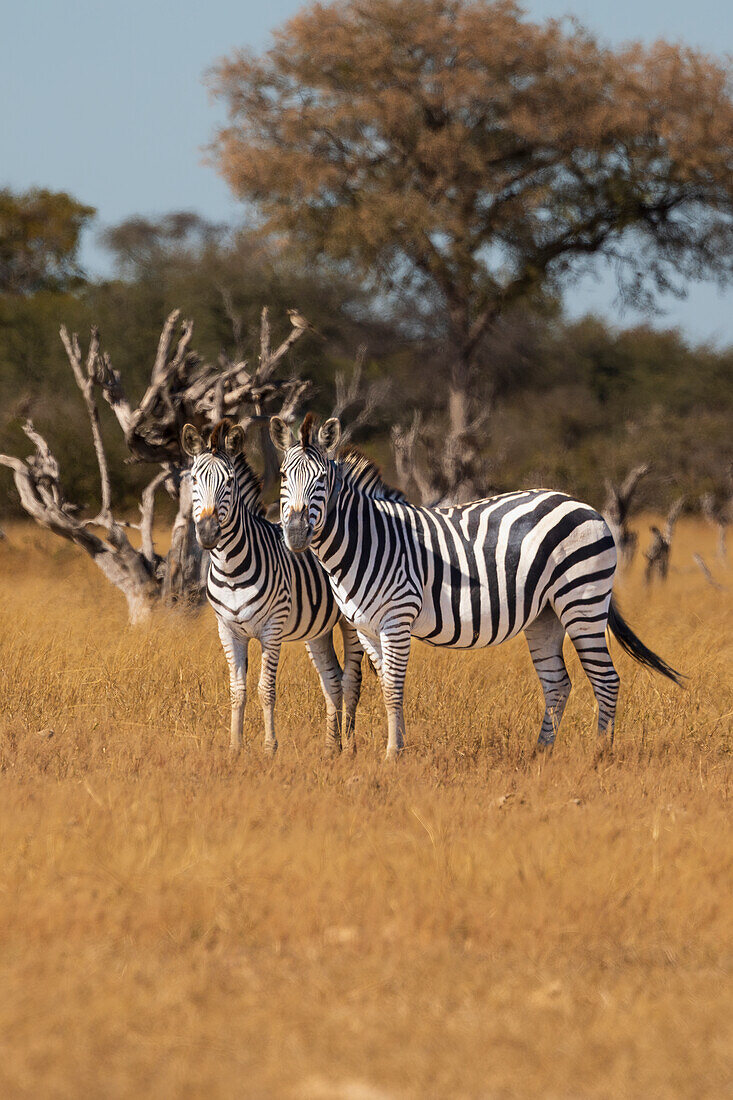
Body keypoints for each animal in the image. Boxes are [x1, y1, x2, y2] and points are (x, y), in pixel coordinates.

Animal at [181, 415, 365, 752]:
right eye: (195, 481)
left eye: (229, 482)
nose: (208, 533)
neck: (231, 570)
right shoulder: (228, 630)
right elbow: (237, 690)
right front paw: (235, 747)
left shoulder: (272, 629)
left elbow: (265, 689)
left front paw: (269, 748)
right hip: (317, 630)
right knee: (332, 678)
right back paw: (331, 748)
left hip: (351, 621)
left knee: (352, 680)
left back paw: (350, 747)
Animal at [270, 409, 682, 761]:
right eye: (283, 478)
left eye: (323, 481)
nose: (296, 533)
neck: (367, 539)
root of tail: (584, 505)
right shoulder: (365, 627)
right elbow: (384, 683)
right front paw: (393, 749)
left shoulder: (397, 618)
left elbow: (393, 687)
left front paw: (392, 756)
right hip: (546, 614)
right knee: (557, 683)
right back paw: (540, 753)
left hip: (583, 600)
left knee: (606, 679)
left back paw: (599, 755)